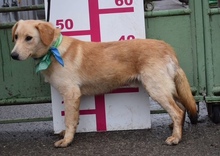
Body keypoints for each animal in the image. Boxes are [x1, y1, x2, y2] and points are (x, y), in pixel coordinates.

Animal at [10, 19, 198, 147]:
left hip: (156, 88)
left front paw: (67, 140)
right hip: (166, 88)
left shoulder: (71, 93)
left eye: (29, 38)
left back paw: (176, 137)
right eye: (16, 37)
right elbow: (74, 118)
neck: (53, 49)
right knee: (182, 107)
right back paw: (176, 128)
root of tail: (167, 47)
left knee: (177, 111)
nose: (13, 55)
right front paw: (69, 134)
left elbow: (69, 119)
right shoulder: (74, 96)